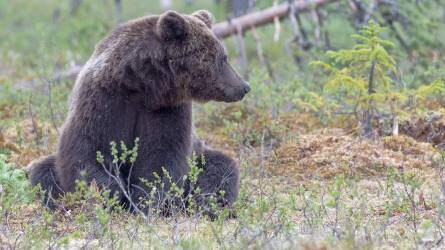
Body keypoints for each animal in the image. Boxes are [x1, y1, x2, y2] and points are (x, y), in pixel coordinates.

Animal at [26, 9, 250, 213]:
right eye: (223, 58)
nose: (244, 86)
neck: (141, 85)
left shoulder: (167, 110)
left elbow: (162, 157)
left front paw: (145, 202)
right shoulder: (104, 100)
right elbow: (87, 149)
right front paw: (110, 194)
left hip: (200, 154)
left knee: (220, 167)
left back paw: (209, 204)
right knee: (42, 172)